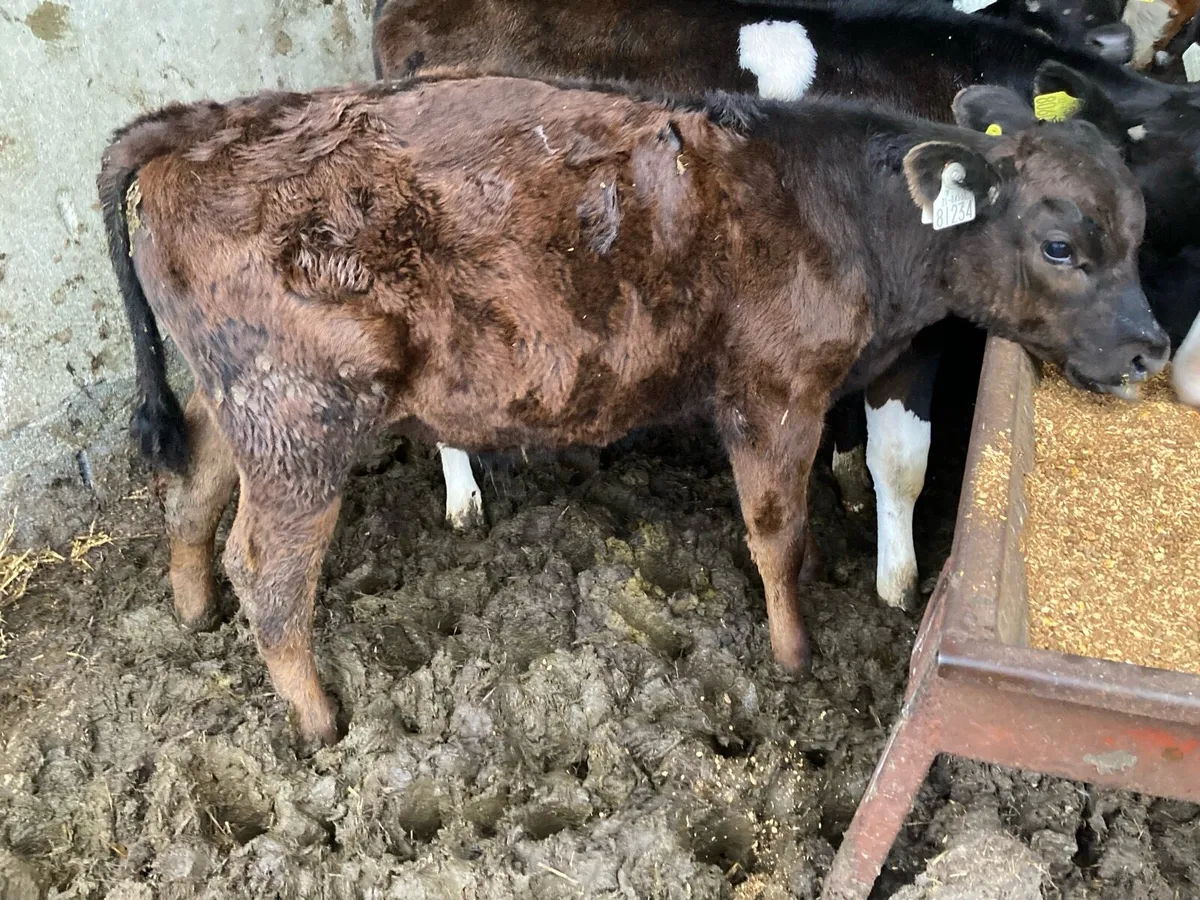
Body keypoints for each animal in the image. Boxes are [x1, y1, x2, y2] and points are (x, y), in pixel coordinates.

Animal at [99, 71, 1168, 744]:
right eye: (1062, 246)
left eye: (1138, 231)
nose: (1152, 350)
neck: (845, 214)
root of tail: (204, 122)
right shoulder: (775, 392)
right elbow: (777, 533)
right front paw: (795, 657)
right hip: (301, 418)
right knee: (269, 572)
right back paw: (321, 723)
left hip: (238, 398)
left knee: (194, 487)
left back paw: (191, 610)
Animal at [372, 0, 1200, 608]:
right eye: (1067, 245)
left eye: (1139, 221)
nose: (1150, 353)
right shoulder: (915, 329)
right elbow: (903, 461)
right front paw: (896, 591)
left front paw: (844, 475)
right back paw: (464, 498)